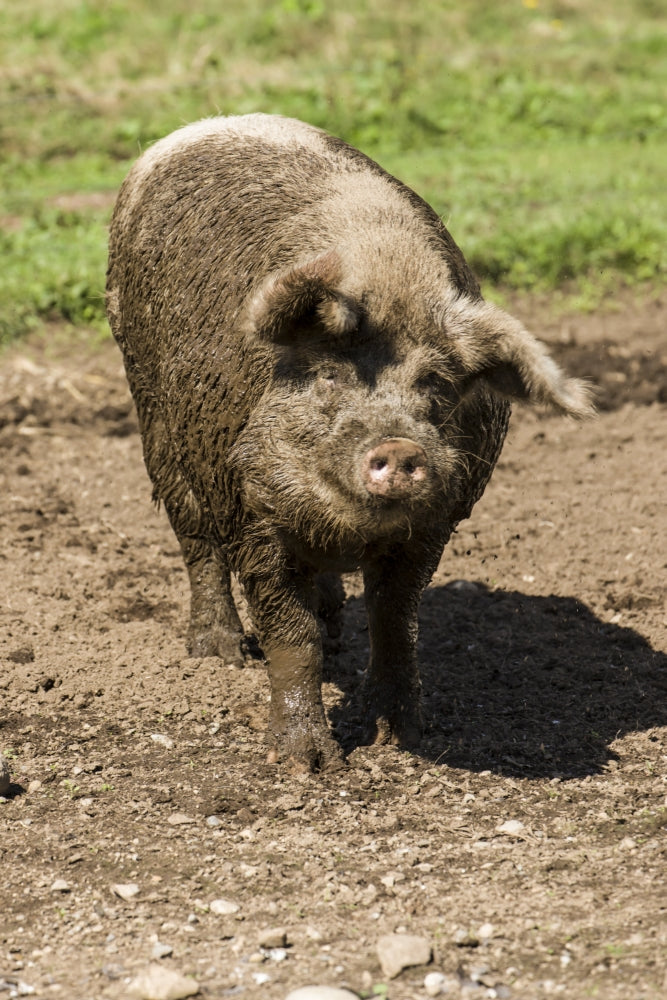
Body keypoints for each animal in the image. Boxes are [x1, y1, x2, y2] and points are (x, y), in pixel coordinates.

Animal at [106, 114, 592, 771]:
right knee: (194, 537)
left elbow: (395, 618)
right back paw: (217, 652)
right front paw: (307, 763)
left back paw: (334, 626)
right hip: (154, 411)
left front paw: (402, 737)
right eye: (331, 376)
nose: (401, 447)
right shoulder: (252, 512)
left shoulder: (435, 522)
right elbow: (291, 634)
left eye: (435, 385)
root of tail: (199, 127)